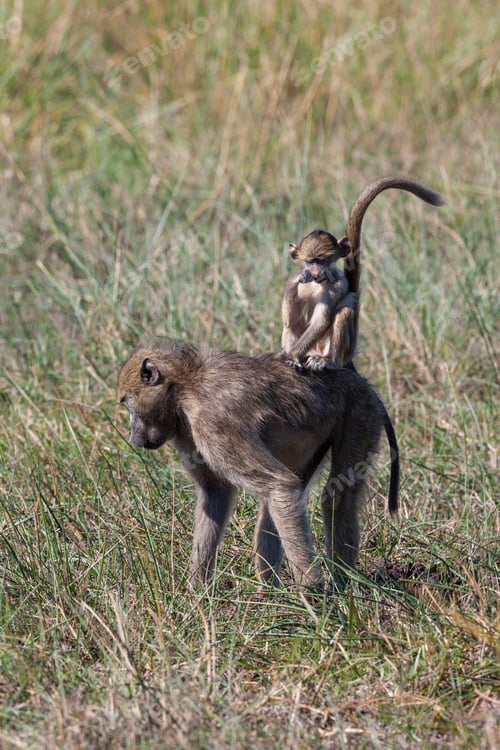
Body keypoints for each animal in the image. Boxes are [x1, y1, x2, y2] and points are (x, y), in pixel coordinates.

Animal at [118, 344, 399, 592]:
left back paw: (337, 590)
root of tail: (357, 378)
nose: (133, 436)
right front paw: (196, 593)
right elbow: (216, 494)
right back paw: (271, 597)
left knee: (333, 497)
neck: (185, 385)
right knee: (284, 498)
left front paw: (314, 589)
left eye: (128, 404)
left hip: (359, 413)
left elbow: (279, 484)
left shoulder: (213, 422)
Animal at [281, 176, 445, 372]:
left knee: (345, 310)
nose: (316, 272)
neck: (318, 283)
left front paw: (293, 356)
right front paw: (299, 277)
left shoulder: (338, 285)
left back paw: (328, 361)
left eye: (322, 261)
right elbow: (289, 319)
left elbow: (321, 321)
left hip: (334, 350)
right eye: (310, 262)